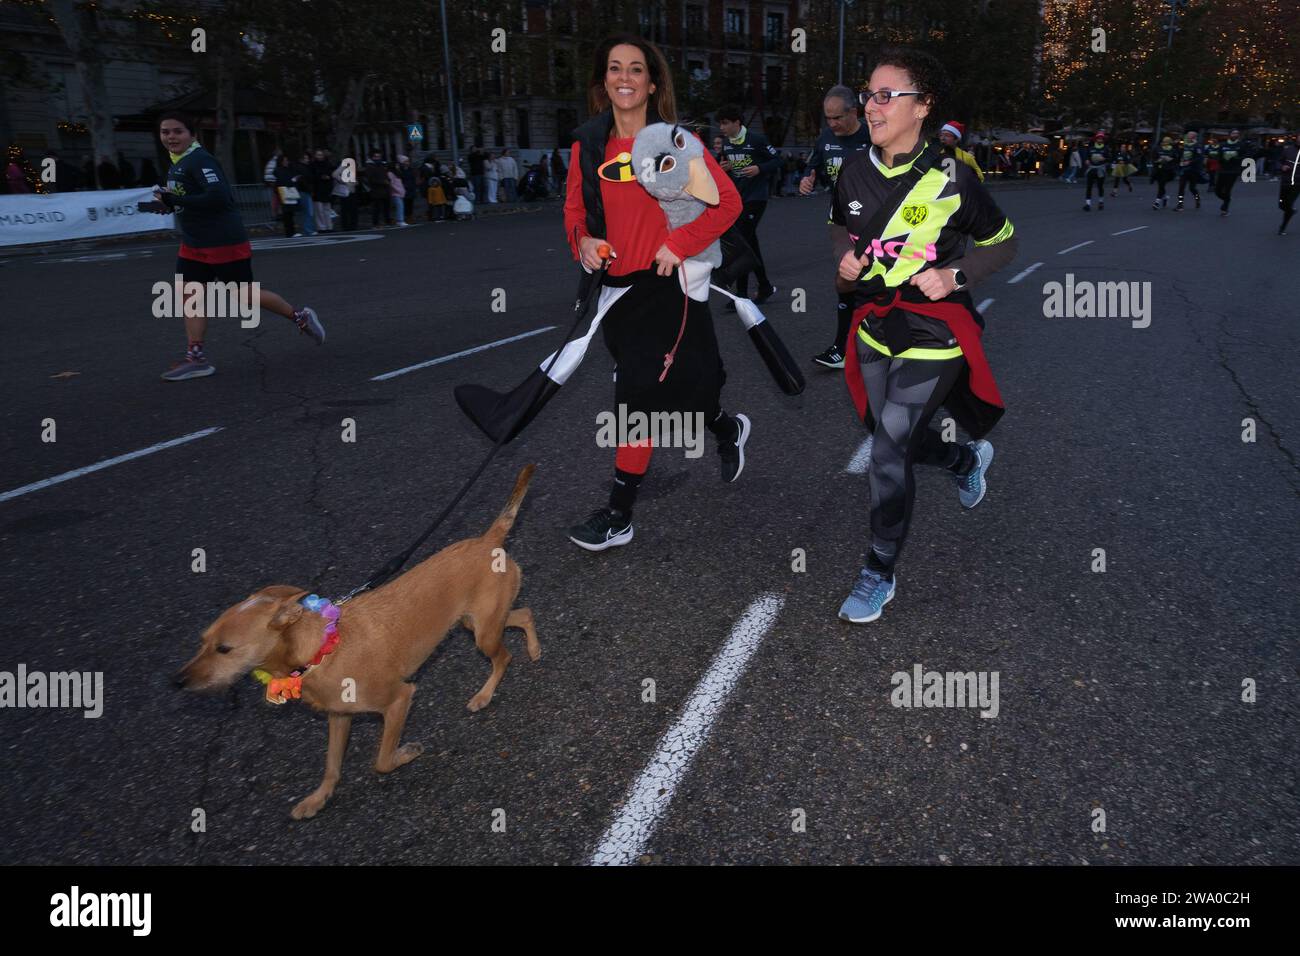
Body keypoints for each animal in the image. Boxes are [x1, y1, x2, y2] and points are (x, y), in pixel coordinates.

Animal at [174, 468, 538, 816]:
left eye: (224, 649)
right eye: (202, 642)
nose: (177, 681)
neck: (319, 653)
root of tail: (488, 537)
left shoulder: (399, 699)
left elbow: (382, 761)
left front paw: (407, 753)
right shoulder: (339, 716)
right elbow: (331, 766)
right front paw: (318, 798)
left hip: (483, 633)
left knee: (503, 657)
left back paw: (484, 695)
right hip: (474, 622)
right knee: (524, 614)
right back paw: (533, 648)